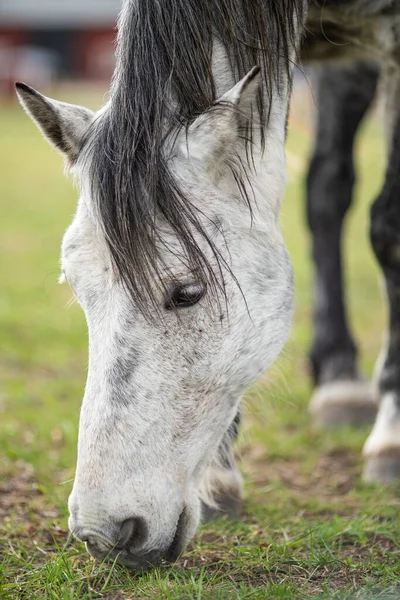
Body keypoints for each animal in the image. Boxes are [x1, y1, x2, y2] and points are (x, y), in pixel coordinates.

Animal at [17, 0, 400, 568]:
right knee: (327, 188)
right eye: (76, 288)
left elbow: (390, 232)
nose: (104, 535)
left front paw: (391, 435)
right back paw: (338, 379)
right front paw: (219, 477)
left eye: (188, 292)